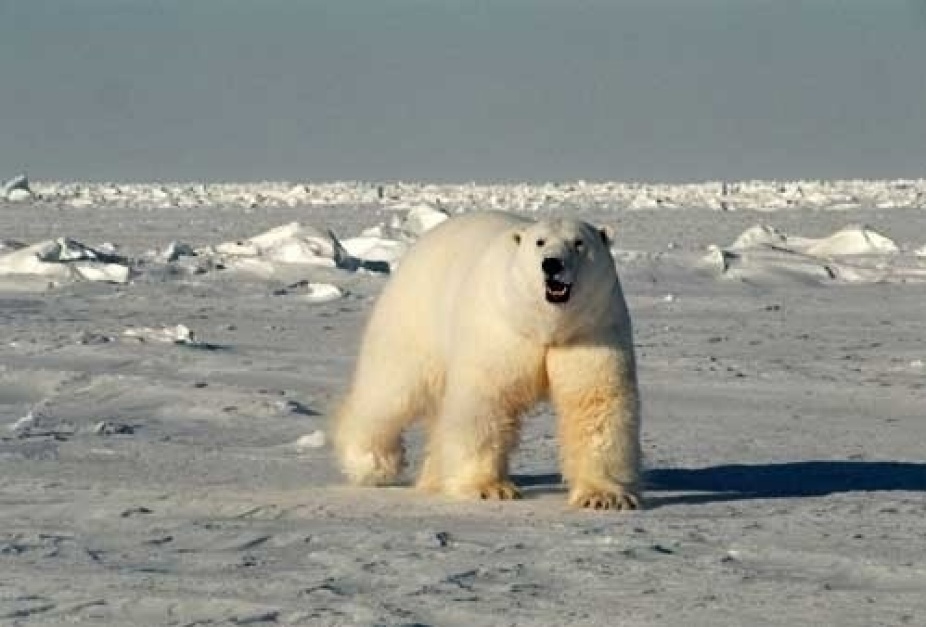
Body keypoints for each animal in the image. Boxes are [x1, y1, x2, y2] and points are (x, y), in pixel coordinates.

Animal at [332, 210, 642, 510]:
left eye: (579, 243)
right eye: (539, 242)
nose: (552, 264)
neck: (542, 325)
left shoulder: (592, 329)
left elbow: (596, 402)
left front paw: (603, 497)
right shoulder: (499, 330)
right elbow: (486, 401)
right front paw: (489, 489)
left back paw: (435, 478)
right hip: (415, 315)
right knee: (390, 390)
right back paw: (371, 463)